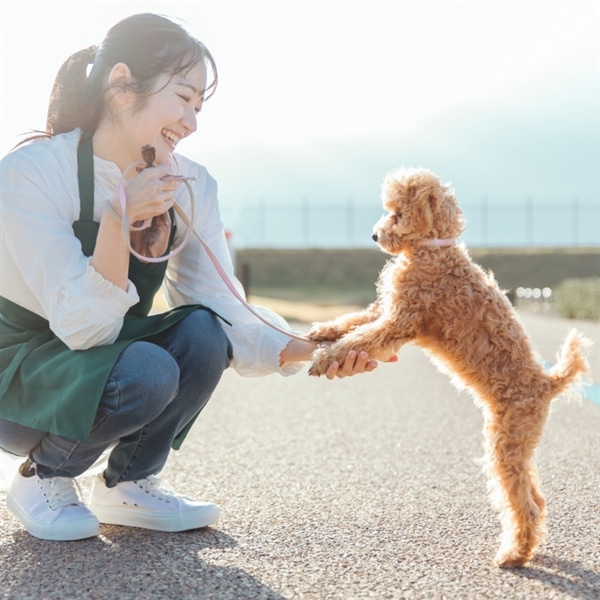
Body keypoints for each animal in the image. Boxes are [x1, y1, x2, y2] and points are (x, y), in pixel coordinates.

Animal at [310, 165, 592, 568]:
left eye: (397, 213)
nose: (374, 235)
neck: (431, 249)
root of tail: (548, 382)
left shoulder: (401, 319)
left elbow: (361, 337)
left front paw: (325, 357)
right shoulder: (388, 309)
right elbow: (355, 321)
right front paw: (322, 332)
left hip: (507, 441)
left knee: (523, 504)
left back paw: (513, 555)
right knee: (536, 499)